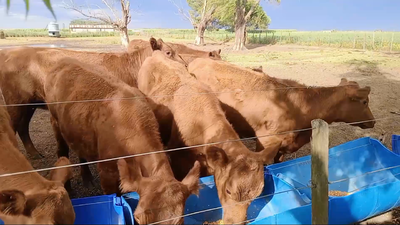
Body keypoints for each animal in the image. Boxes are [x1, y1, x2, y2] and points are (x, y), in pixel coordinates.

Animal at [45, 57, 200, 224]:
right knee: (62, 151)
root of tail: (63, 60)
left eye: (180, 221)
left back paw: (87, 178)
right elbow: (115, 194)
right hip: (54, 120)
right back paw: (68, 186)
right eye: (137, 218)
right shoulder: (107, 171)